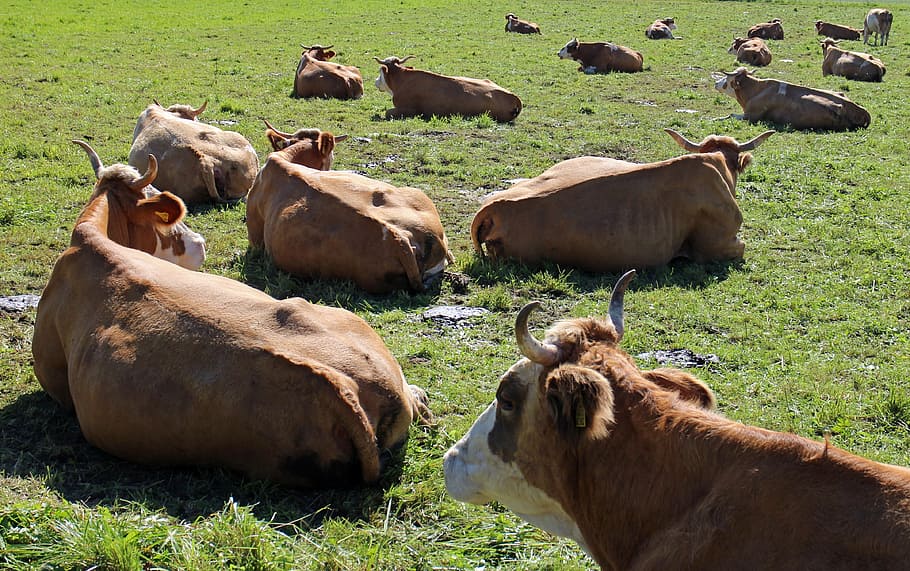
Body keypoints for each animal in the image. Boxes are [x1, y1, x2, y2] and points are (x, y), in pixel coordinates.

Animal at [373, 56, 522, 122]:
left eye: (380, 71)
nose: (375, 82)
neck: (402, 79)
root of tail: (514, 97)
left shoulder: (409, 109)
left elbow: (388, 112)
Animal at [714, 67, 871, 130]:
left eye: (727, 79)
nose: (716, 83)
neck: (755, 90)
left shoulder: (751, 116)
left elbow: (730, 114)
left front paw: (715, 118)